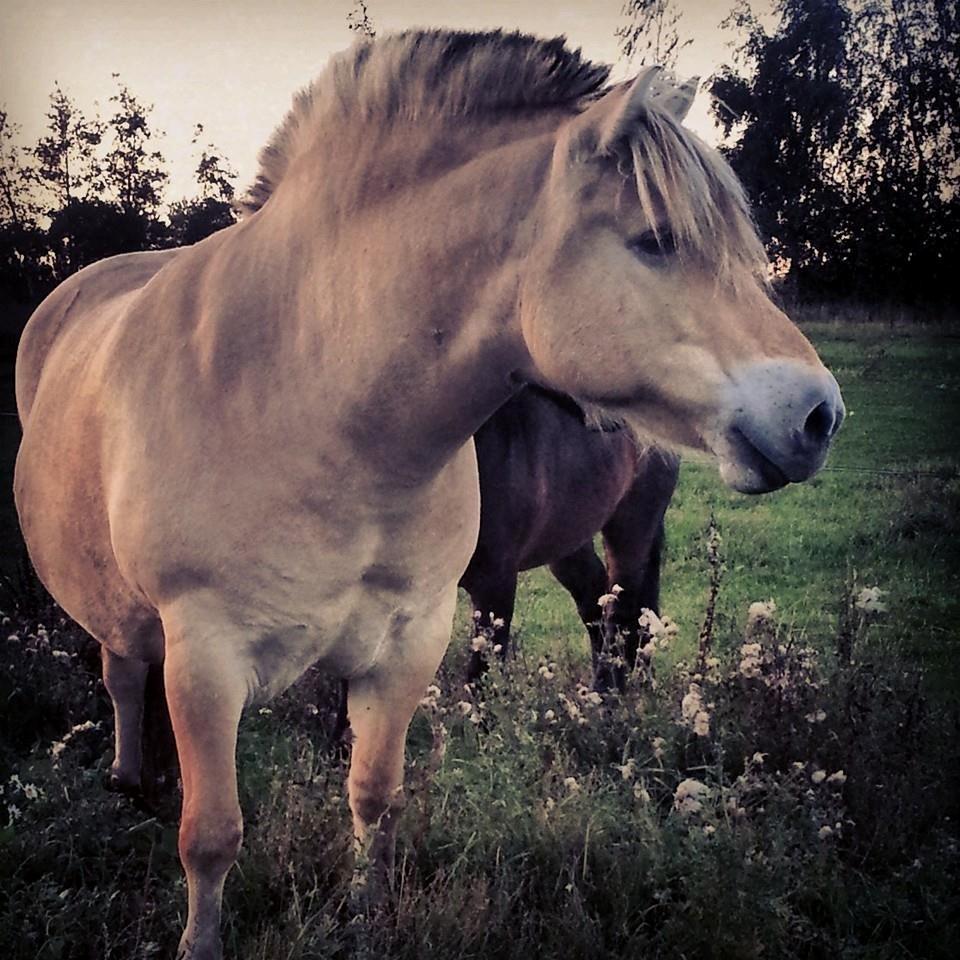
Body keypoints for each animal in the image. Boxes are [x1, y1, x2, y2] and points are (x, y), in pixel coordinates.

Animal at [462, 382, 680, 688]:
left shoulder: (494, 583)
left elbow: (480, 676)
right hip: (568, 541)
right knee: (597, 600)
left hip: (633, 524)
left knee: (625, 611)